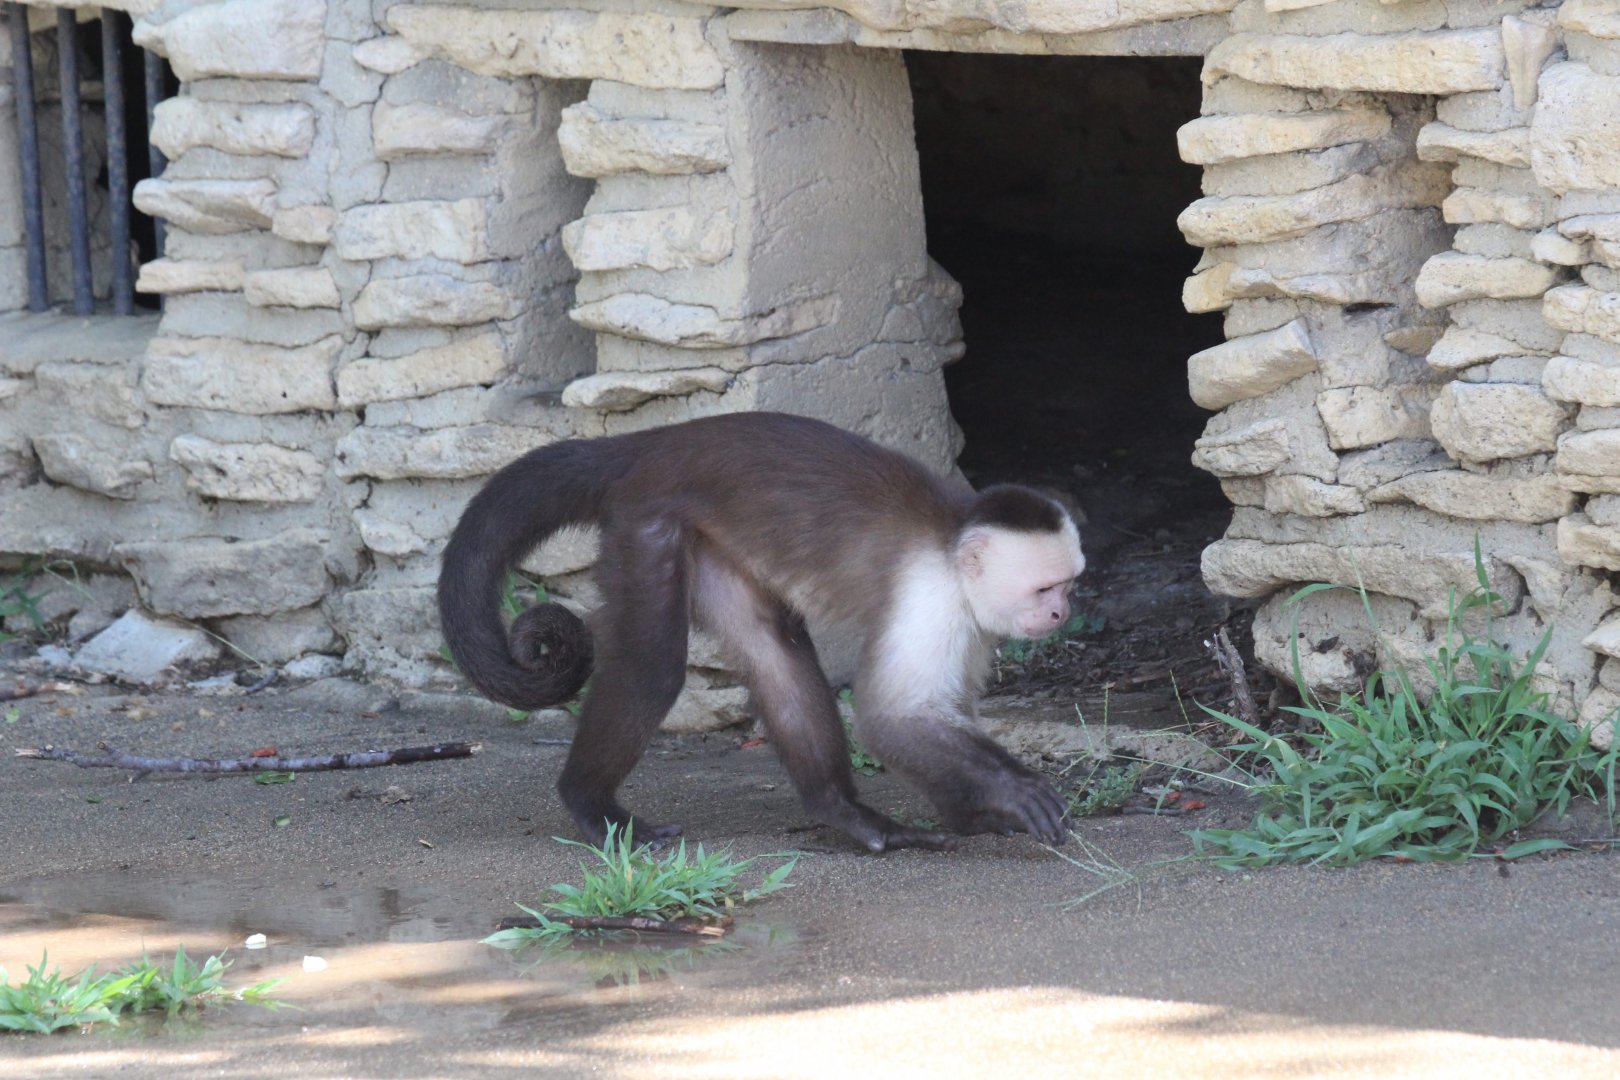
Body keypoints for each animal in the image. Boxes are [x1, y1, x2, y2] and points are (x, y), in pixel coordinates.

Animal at [437, 412, 1085, 852]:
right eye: (1045, 589)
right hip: (647, 521)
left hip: (708, 540)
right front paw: (1011, 790)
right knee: (652, 671)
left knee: (774, 650)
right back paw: (591, 805)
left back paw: (841, 811)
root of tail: (651, 443)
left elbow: (940, 711)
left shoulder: (972, 622)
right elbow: (894, 717)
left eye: (1069, 586)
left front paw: (971, 814)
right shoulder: (931, 598)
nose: (1061, 615)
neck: (951, 542)